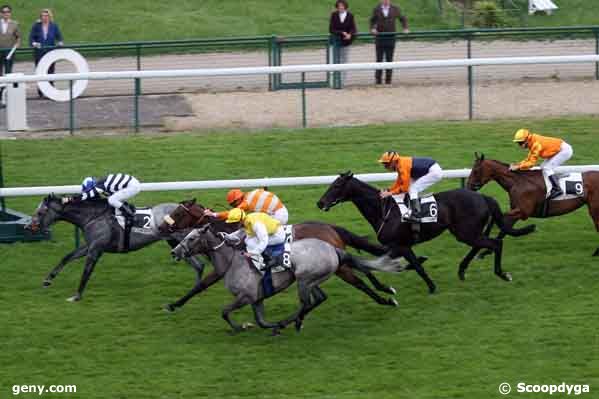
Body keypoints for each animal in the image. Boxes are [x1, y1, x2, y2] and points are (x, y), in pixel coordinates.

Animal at [27, 195, 206, 304]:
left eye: (40, 212)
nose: (29, 227)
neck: (93, 216)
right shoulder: (90, 245)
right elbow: (67, 256)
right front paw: (48, 280)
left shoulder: (95, 249)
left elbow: (86, 272)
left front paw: (76, 296)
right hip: (176, 243)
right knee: (199, 265)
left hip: (183, 240)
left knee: (201, 263)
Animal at [157, 200, 424, 312]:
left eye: (178, 212)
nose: (161, 226)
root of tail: (330, 227)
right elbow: (200, 286)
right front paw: (175, 304)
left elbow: (200, 285)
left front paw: (173, 304)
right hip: (339, 260)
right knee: (364, 269)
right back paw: (386, 289)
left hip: (338, 265)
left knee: (360, 278)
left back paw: (385, 297)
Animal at [173, 227, 408, 336]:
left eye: (192, 238)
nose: (175, 252)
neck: (232, 262)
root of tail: (333, 249)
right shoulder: (257, 299)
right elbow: (260, 320)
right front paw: (263, 325)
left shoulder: (246, 296)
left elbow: (224, 311)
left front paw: (240, 327)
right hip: (313, 280)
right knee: (319, 298)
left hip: (304, 279)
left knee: (307, 302)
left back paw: (292, 322)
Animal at [316, 172, 536, 294]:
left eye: (337, 185)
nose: (320, 202)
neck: (384, 211)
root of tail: (483, 196)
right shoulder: (396, 247)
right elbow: (400, 263)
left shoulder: (401, 245)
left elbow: (416, 266)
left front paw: (431, 287)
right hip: (466, 232)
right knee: (481, 245)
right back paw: (462, 269)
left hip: (466, 232)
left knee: (495, 244)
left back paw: (502, 273)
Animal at [468, 153, 599, 256]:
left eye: (475, 171)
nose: (468, 186)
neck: (518, 182)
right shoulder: (516, 211)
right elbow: (504, 229)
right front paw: (485, 252)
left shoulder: (523, 211)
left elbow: (499, 221)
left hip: (594, 209)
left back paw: (596, 253)